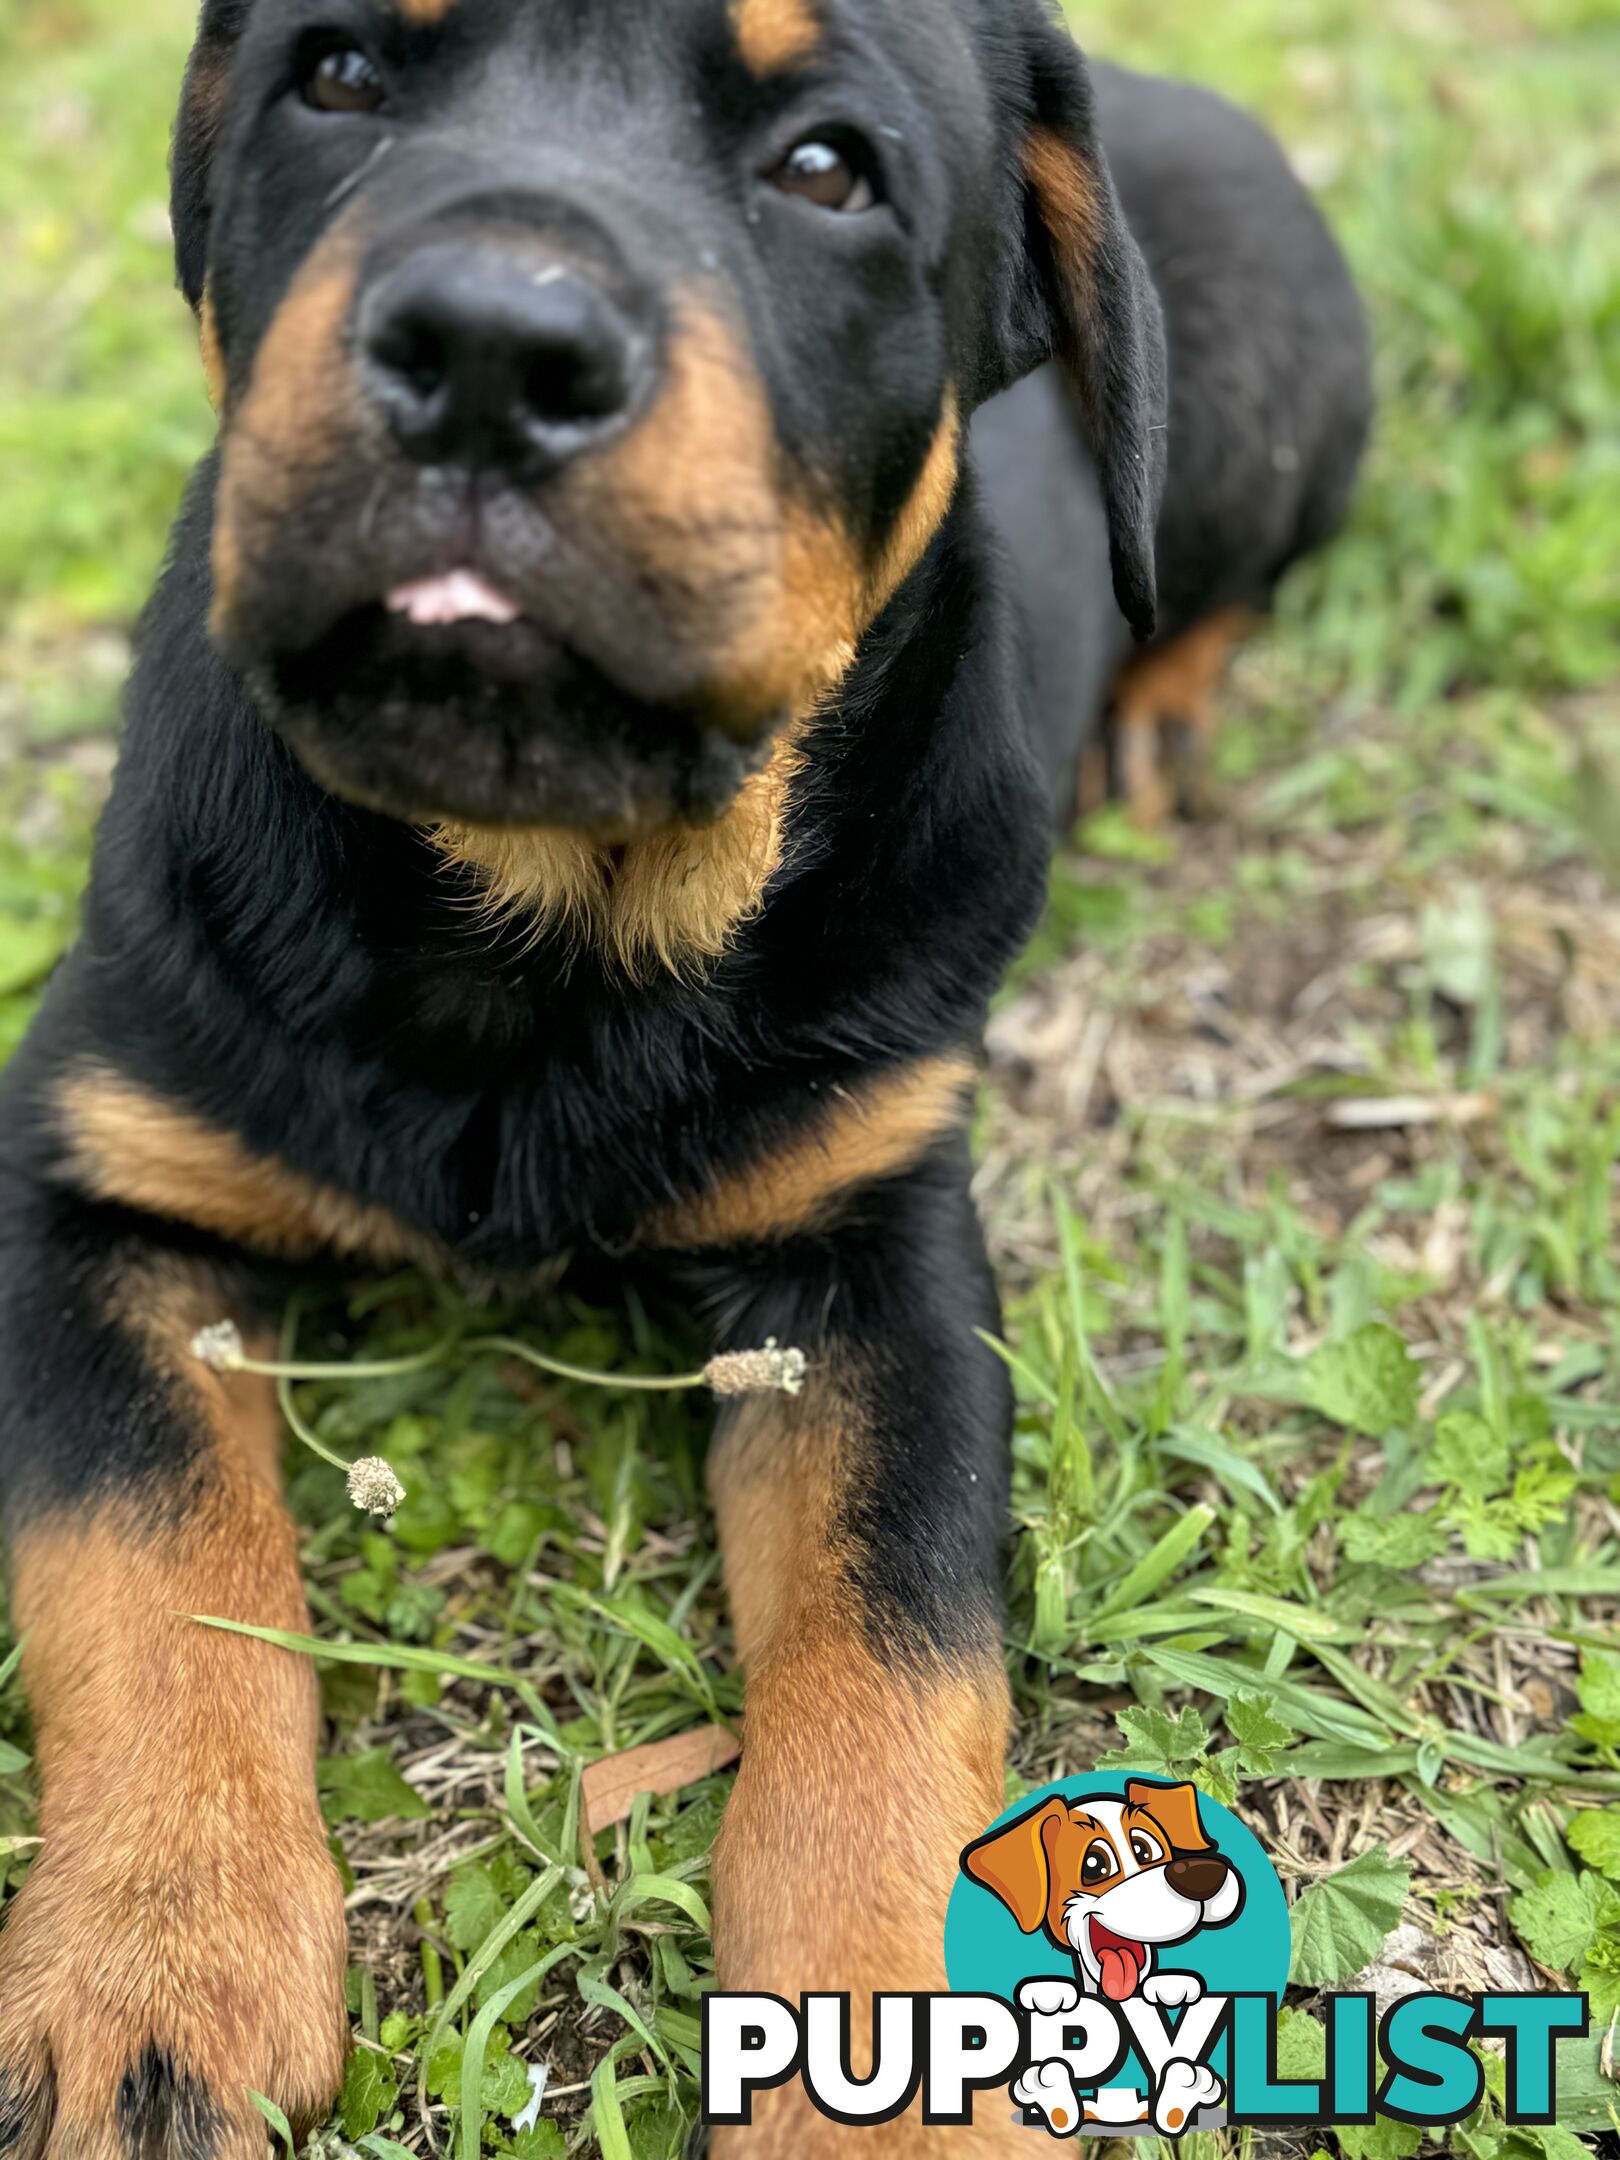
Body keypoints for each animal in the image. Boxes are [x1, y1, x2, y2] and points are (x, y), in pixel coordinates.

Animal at [0, 0, 1373, 2151]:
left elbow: (890, 1659)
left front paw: (884, 2068)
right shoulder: (88, 1171)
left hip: (1264, 437)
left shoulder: (876, 1262)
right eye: (338, 76)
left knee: (1208, 587)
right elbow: (150, 1561)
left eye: (830, 172)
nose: (491, 348)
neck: (543, 930)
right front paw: (159, 1958)